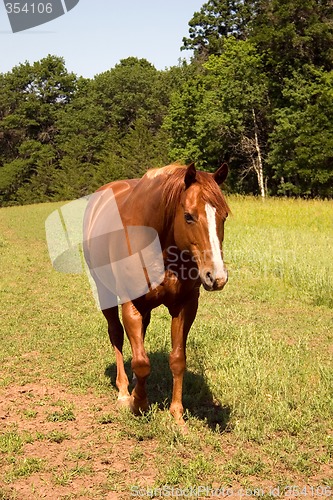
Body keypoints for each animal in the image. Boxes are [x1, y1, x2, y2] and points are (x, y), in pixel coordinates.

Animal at [82, 162, 228, 424]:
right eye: (188, 216)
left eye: (224, 216)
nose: (217, 276)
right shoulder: (131, 305)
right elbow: (141, 363)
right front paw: (138, 403)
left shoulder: (185, 306)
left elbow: (177, 360)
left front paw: (177, 414)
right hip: (105, 292)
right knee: (116, 334)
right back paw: (123, 390)